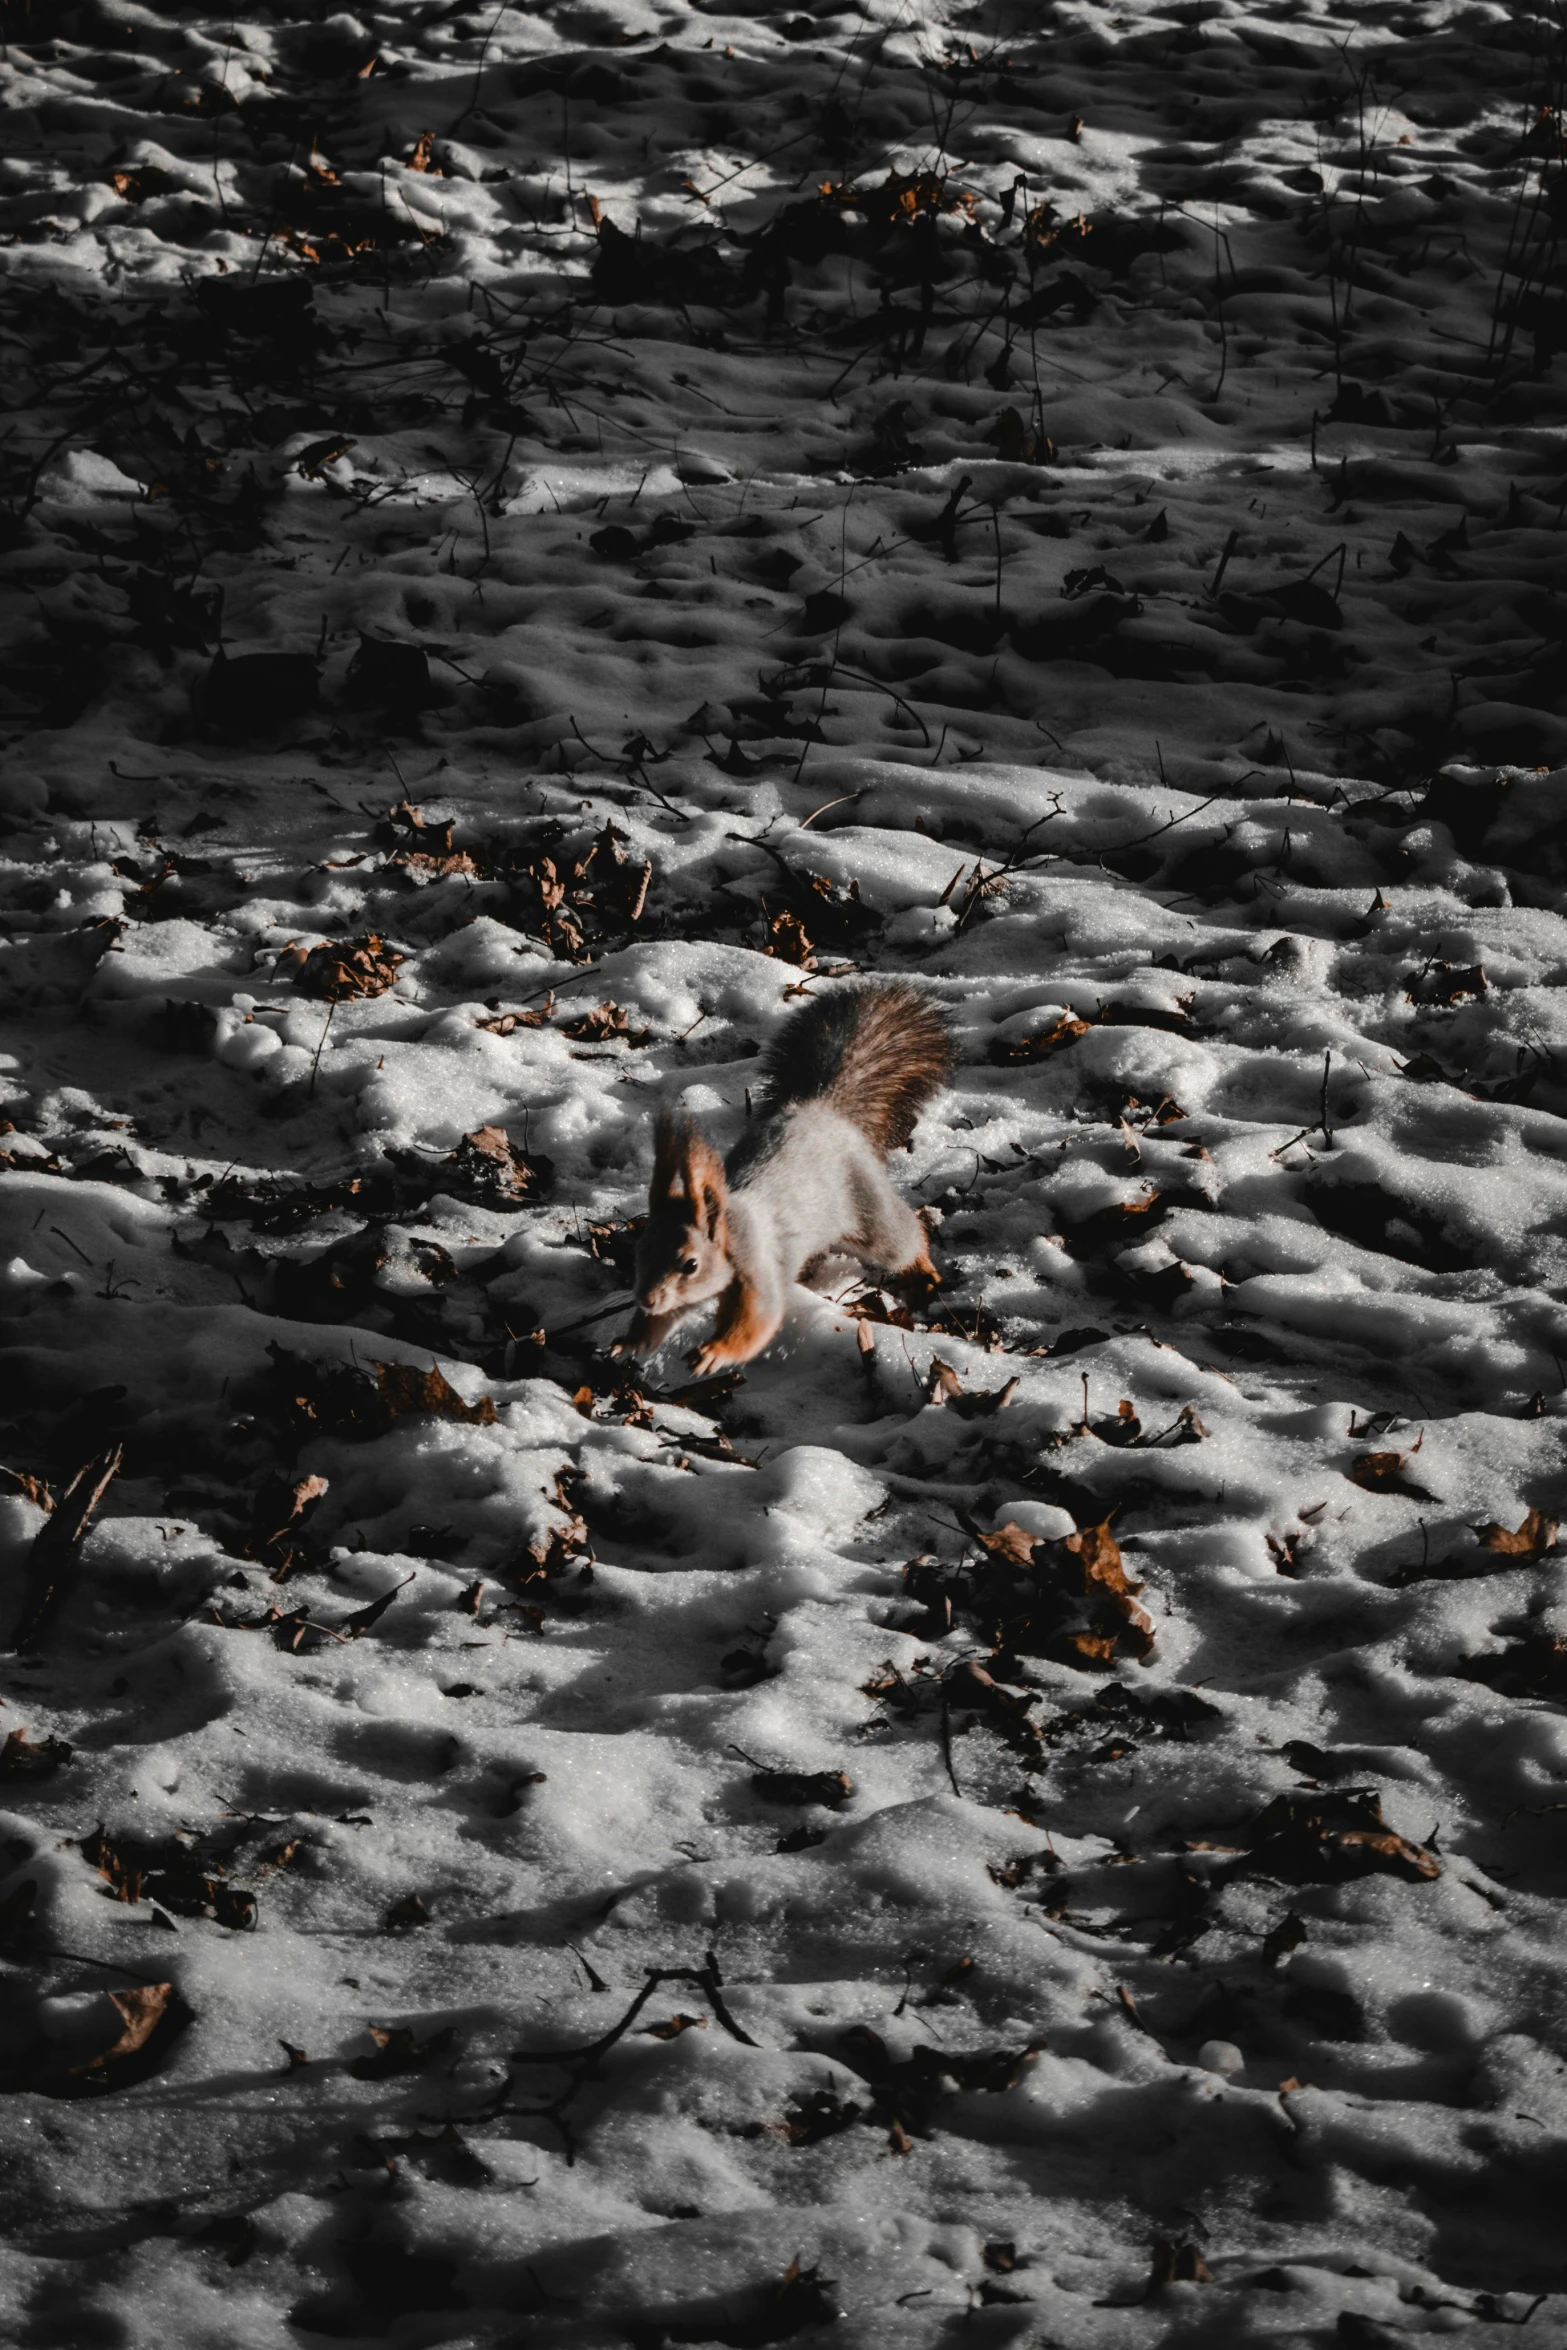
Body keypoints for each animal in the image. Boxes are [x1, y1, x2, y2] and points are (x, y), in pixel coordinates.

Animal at [620, 977, 949, 1372]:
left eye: (691, 1264)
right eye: (639, 1251)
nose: (646, 1300)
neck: (729, 1228)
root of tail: (822, 1108)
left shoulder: (758, 1265)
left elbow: (758, 1320)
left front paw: (714, 1352)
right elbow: (668, 1317)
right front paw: (634, 1339)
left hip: (868, 1207)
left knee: (903, 1238)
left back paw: (923, 1273)